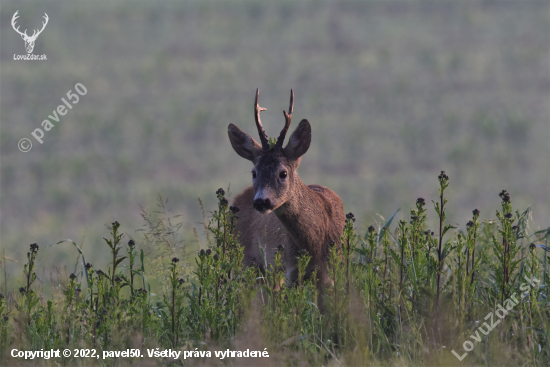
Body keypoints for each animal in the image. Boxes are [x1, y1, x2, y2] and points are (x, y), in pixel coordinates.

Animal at [227, 89, 344, 300]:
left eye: (283, 173)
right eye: (254, 172)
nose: (261, 202)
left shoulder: (332, 272)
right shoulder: (291, 272)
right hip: (247, 260)